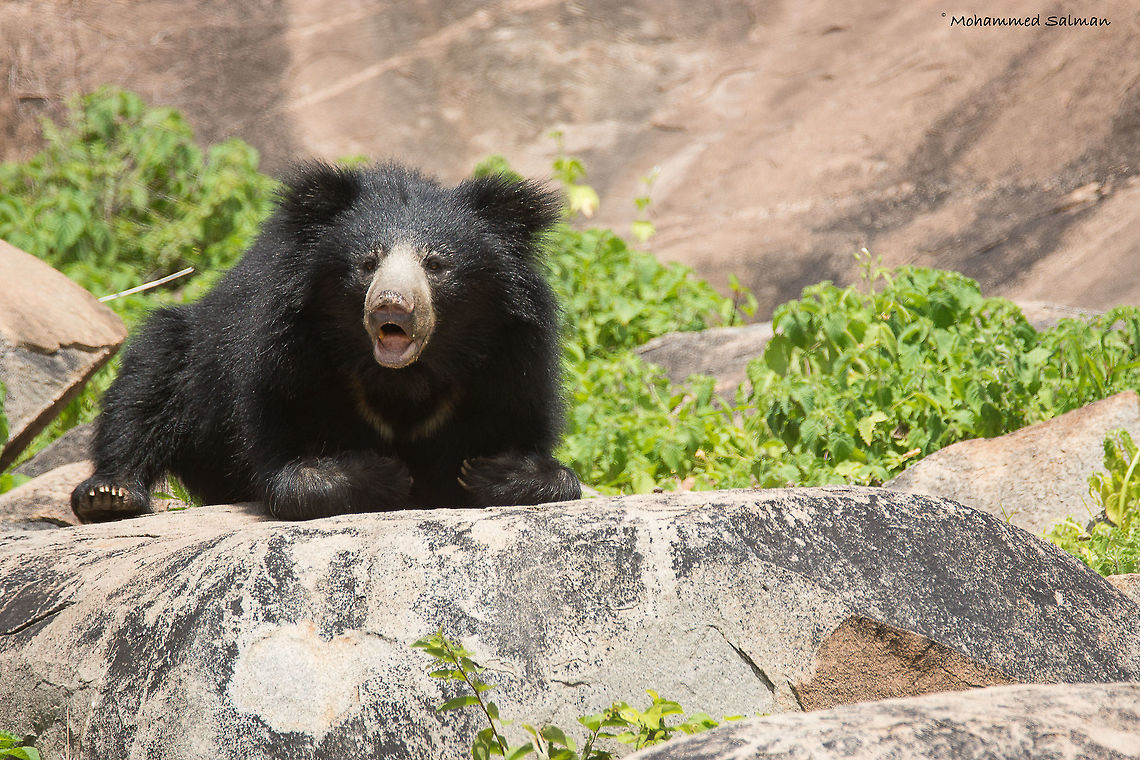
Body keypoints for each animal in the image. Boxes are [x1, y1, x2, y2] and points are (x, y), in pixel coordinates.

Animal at [71, 161, 582, 521]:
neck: (405, 375)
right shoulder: (286, 356)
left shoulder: (513, 359)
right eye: (368, 263)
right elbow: (287, 473)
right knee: (148, 380)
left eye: (436, 264)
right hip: (192, 349)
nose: (392, 304)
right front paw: (382, 472)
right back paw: (109, 493)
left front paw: (492, 470)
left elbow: (547, 460)